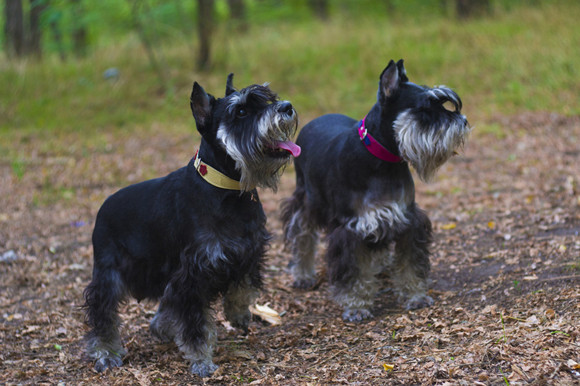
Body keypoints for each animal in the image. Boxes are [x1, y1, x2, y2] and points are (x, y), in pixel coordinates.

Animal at [84, 74, 302, 376]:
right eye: (241, 111)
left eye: (268, 99)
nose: (287, 107)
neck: (228, 191)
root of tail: (102, 209)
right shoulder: (193, 272)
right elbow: (195, 323)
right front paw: (201, 360)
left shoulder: (249, 250)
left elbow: (242, 287)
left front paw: (238, 314)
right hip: (109, 274)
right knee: (102, 312)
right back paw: (106, 352)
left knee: (166, 298)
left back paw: (161, 326)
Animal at [282, 58, 472, 322]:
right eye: (424, 110)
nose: (462, 122)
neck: (382, 159)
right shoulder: (350, 227)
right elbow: (353, 272)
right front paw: (356, 305)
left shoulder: (406, 218)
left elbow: (410, 263)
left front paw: (415, 295)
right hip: (306, 201)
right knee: (302, 235)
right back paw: (302, 274)